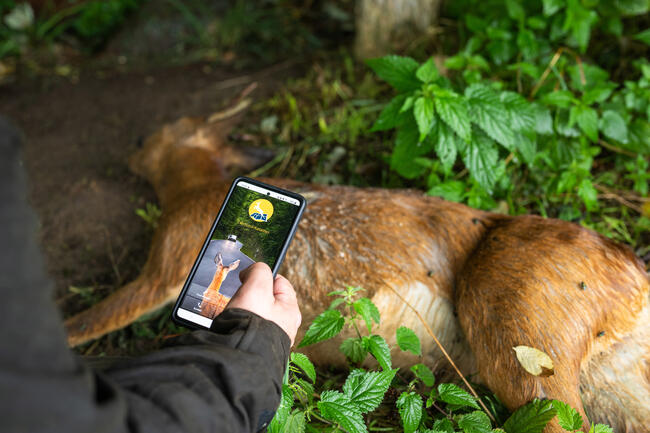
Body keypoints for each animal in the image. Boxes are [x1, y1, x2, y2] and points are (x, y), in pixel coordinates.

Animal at [62, 98, 648, 432]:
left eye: (149, 136)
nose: (130, 146)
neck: (201, 190)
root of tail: (632, 269)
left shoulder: (164, 266)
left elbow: (80, 325)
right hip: (609, 391)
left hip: (519, 346)